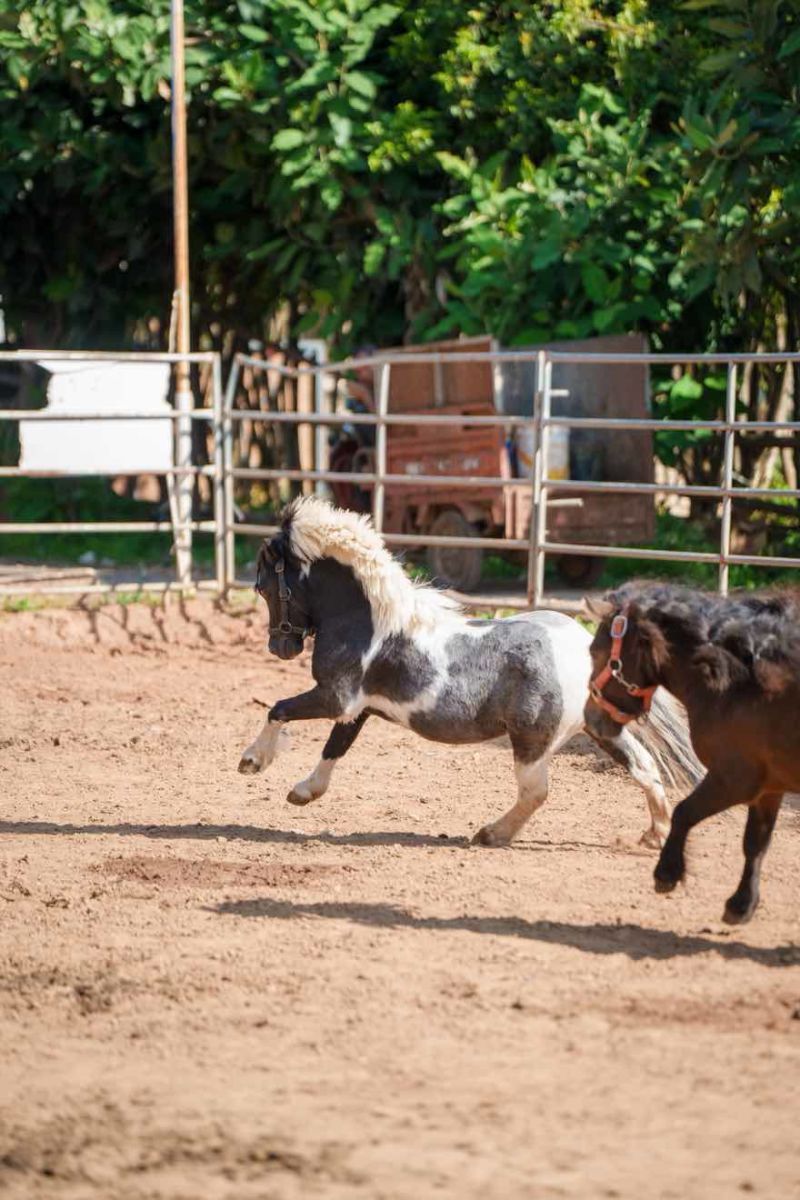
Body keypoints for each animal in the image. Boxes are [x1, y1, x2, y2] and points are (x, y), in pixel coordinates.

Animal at [238, 497, 702, 848]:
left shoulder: (335, 697)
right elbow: (335, 748)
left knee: (537, 791)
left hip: (532, 739)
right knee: (644, 766)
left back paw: (491, 834)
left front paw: (252, 762)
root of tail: (588, 651)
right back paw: (654, 835)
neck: (367, 621)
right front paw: (303, 792)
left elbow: (278, 709)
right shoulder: (358, 708)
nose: (281, 647)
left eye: (263, 586)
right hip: (599, 726)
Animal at [585, 581, 800, 923]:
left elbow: (683, 811)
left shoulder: (735, 779)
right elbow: (756, 843)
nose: (591, 719)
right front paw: (741, 904)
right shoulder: (768, 787)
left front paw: (666, 873)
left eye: (595, 651)